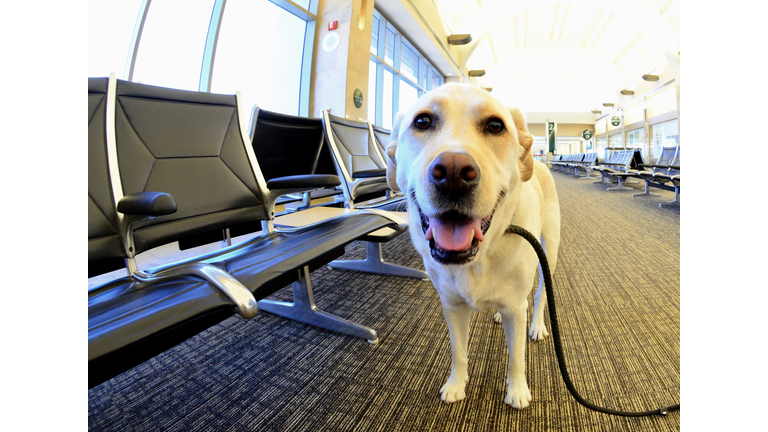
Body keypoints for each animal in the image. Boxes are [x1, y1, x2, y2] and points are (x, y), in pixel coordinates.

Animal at [388, 83, 560, 408]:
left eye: (495, 126)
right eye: (422, 121)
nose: (453, 173)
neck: (477, 259)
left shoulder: (517, 309)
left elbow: (516, 358)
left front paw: (517, 391)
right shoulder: (452, 306)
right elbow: (459, 352)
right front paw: (456, 385)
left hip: (549, 254)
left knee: (539, 295)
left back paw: (537, 326)